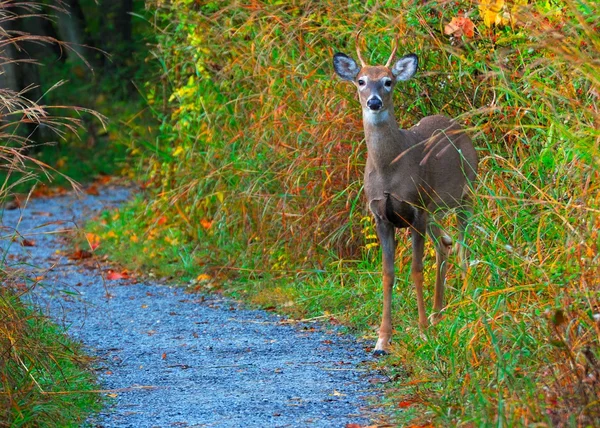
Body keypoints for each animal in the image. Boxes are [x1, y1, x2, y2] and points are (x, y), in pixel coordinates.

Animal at [332, 32, 478, 354]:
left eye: (388, 81)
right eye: (361, 81)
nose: (374, 102)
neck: (389, 171)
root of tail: (455, 124)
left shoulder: (416, 211)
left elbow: (416, 269)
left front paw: (422, 332)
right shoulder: (381, 216)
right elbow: (388, 274)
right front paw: (382, 339)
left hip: (466, 195)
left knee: (462, 247)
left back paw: (463, 302)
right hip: (435, 210)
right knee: (445, 244)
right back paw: (438, 315)